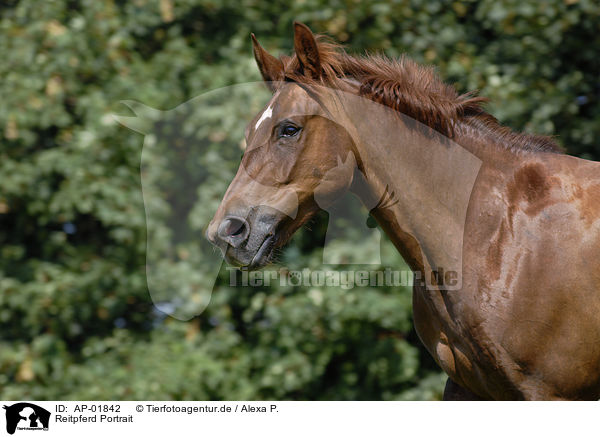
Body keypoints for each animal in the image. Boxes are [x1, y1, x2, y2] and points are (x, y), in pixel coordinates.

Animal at [205, 23, 600, 398]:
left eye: (289, 129)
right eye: (248, 132)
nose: (226, 231)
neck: (499, 229)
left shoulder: (548, 391)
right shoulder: (467, 387)